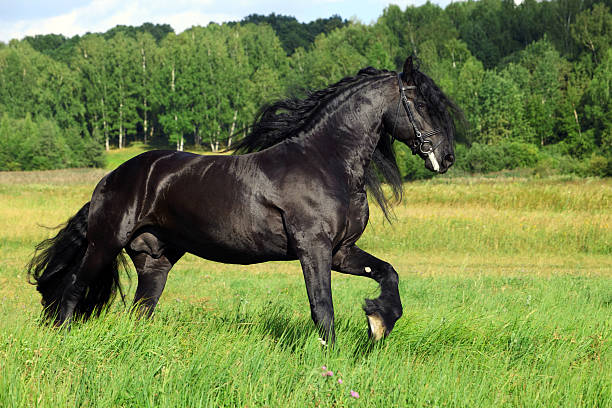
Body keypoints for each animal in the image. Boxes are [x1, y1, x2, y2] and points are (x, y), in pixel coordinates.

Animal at [28, 57, 460, 344]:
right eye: (422, 104)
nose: (447, 156)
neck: (325, 161)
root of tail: (110, 179)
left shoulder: (341, 251)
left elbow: (388, 273)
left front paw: (378, 323)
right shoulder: (314, 249)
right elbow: (323, 308)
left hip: (156, 260)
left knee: (141, 310)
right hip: (105, 244)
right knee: (71, 289)